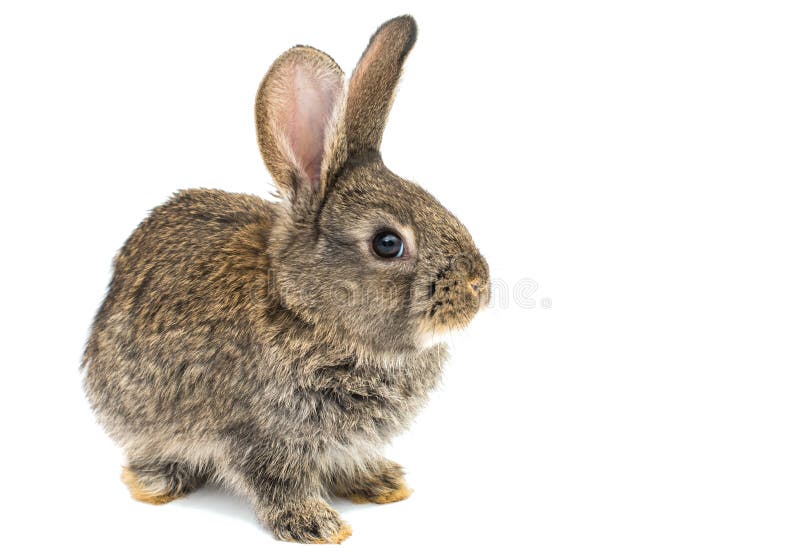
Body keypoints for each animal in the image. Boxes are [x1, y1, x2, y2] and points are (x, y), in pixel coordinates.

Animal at [82, 15, 490, 544]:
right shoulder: (260, 433)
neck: (305, 310)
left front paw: (378, 483)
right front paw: (315, 524)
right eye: (387, 243)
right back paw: (157, 482)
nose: (479, 285)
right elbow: (276, 479)